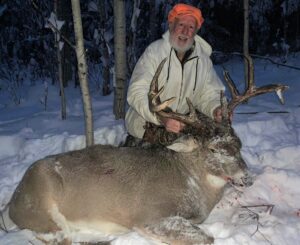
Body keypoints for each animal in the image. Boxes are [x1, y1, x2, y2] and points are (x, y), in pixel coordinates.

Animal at [0, 57, 288, 245]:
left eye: (238, 143)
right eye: (215, 149)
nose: (247, 178)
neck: (193, 182)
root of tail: (13, 202)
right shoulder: (150, 215)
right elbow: (206, 238)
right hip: (41, 208)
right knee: (58, 236)